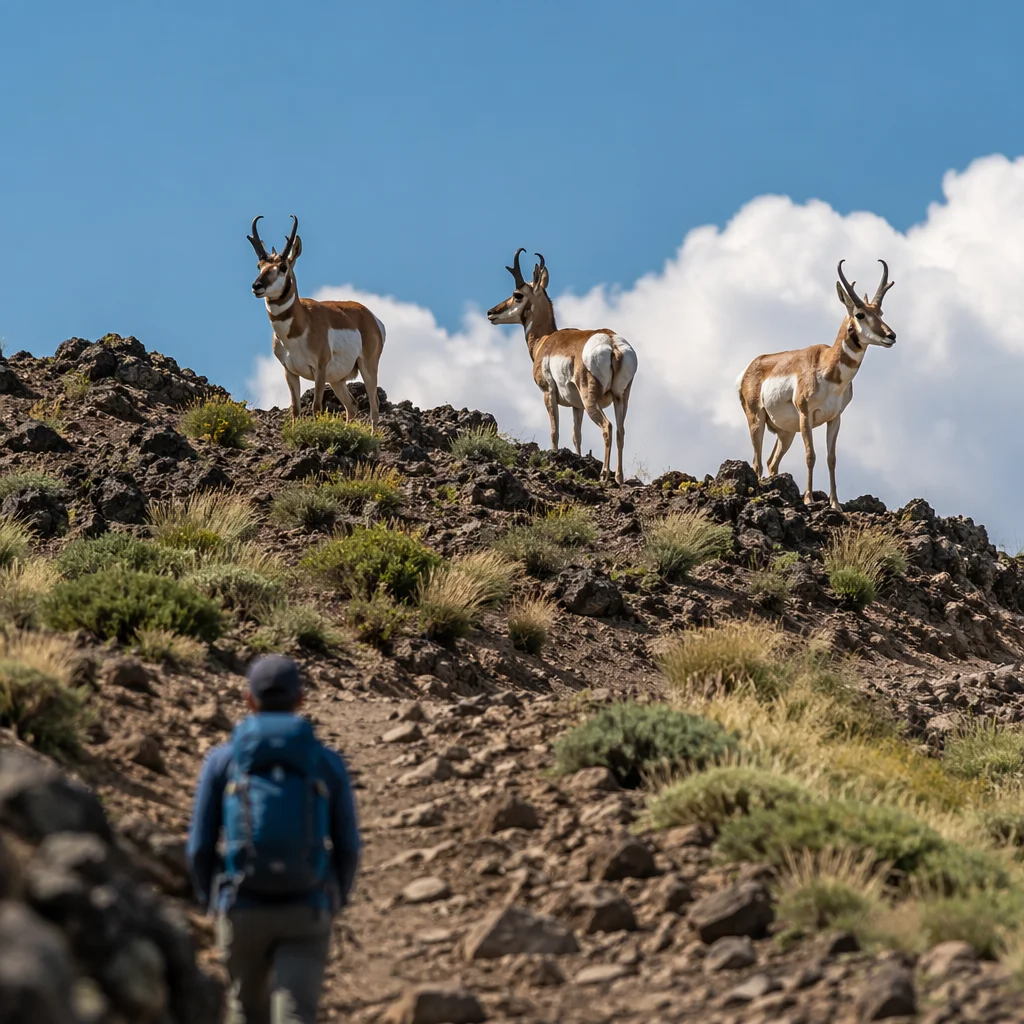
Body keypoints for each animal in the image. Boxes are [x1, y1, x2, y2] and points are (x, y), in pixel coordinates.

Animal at [247, 215, 385, 426]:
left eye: (283, 267)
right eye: (259, 266)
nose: (257, 286)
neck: (297, 330)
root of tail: (370, 316)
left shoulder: (320, 369)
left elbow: (317, 407)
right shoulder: (290, 371)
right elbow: (295, 410)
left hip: (367, 368)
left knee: (374, 408)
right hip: (337, 380)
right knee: (352, 407)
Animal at [487, 249, 639, 484]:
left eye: (517, 294)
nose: (491, 312)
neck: (546, 339)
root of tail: (611, 342)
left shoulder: (548, 393)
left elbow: (554, 431)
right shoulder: (576, 407)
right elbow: (577, 436)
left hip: (591, 400)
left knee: (608, 427)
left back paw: (604, 474)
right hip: (620, 397)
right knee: (621, 430)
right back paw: (619, 477)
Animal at [736, 259, 897, 510]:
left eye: (880, 312)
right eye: (860, 314)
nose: (891, 336)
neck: (827, 368)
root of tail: (752, 366)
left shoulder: (835, 419)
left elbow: (831, 459)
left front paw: (835, 504)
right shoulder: (806, 416)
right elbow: (811, 455)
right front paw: (809, 499)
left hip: (785, 433)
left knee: (772, 463)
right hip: (757, 420)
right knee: (757, 462)